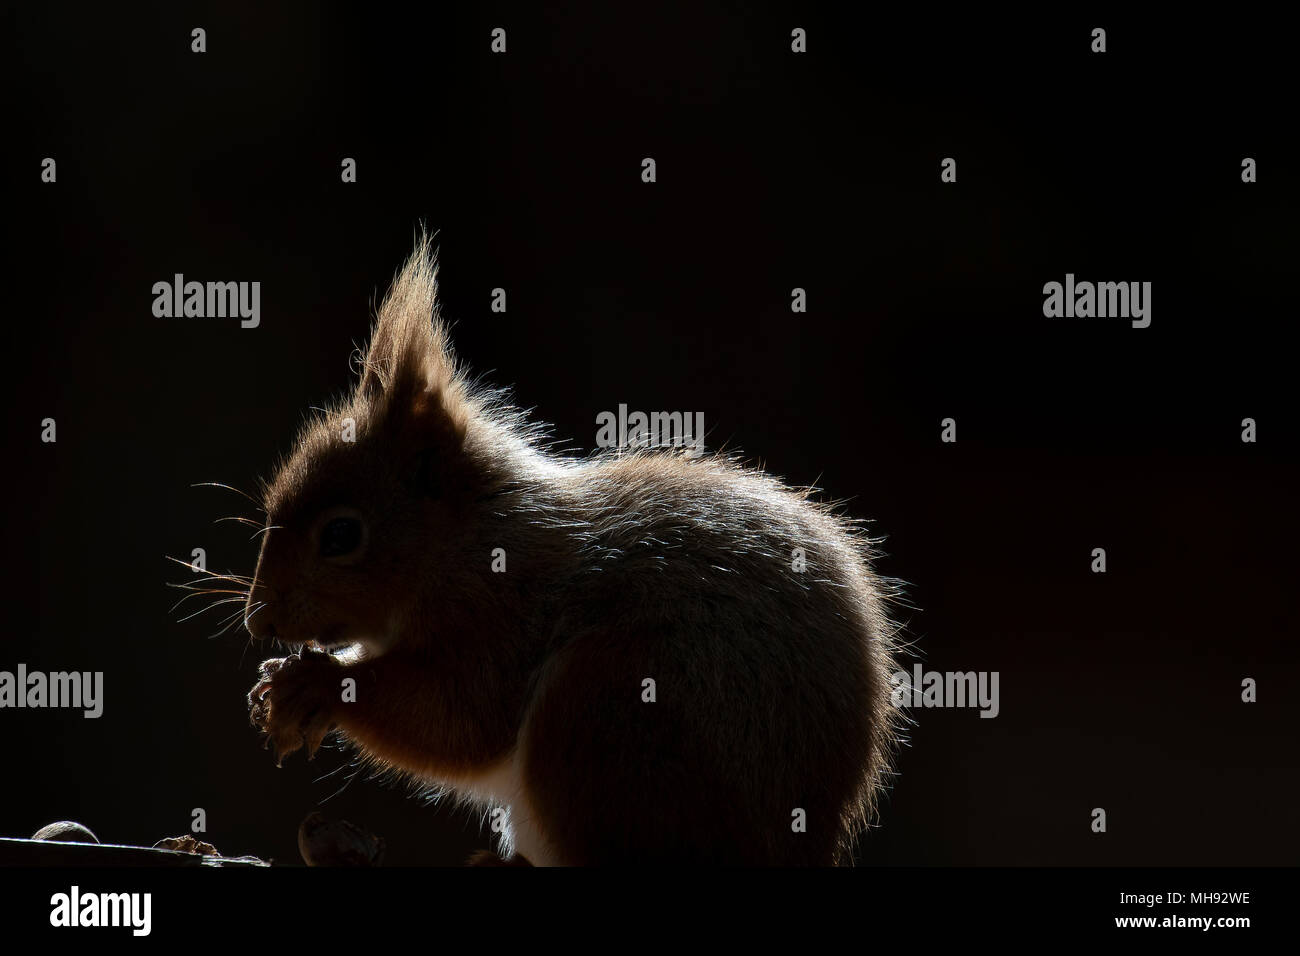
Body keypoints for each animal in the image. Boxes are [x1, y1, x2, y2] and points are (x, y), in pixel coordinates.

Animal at [244, 234, 899, 868]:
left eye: (340, 536)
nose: (259, 622)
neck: (464, 540)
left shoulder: (502, 612)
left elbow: (460, 720)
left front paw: (317, 684)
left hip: (606, 711)